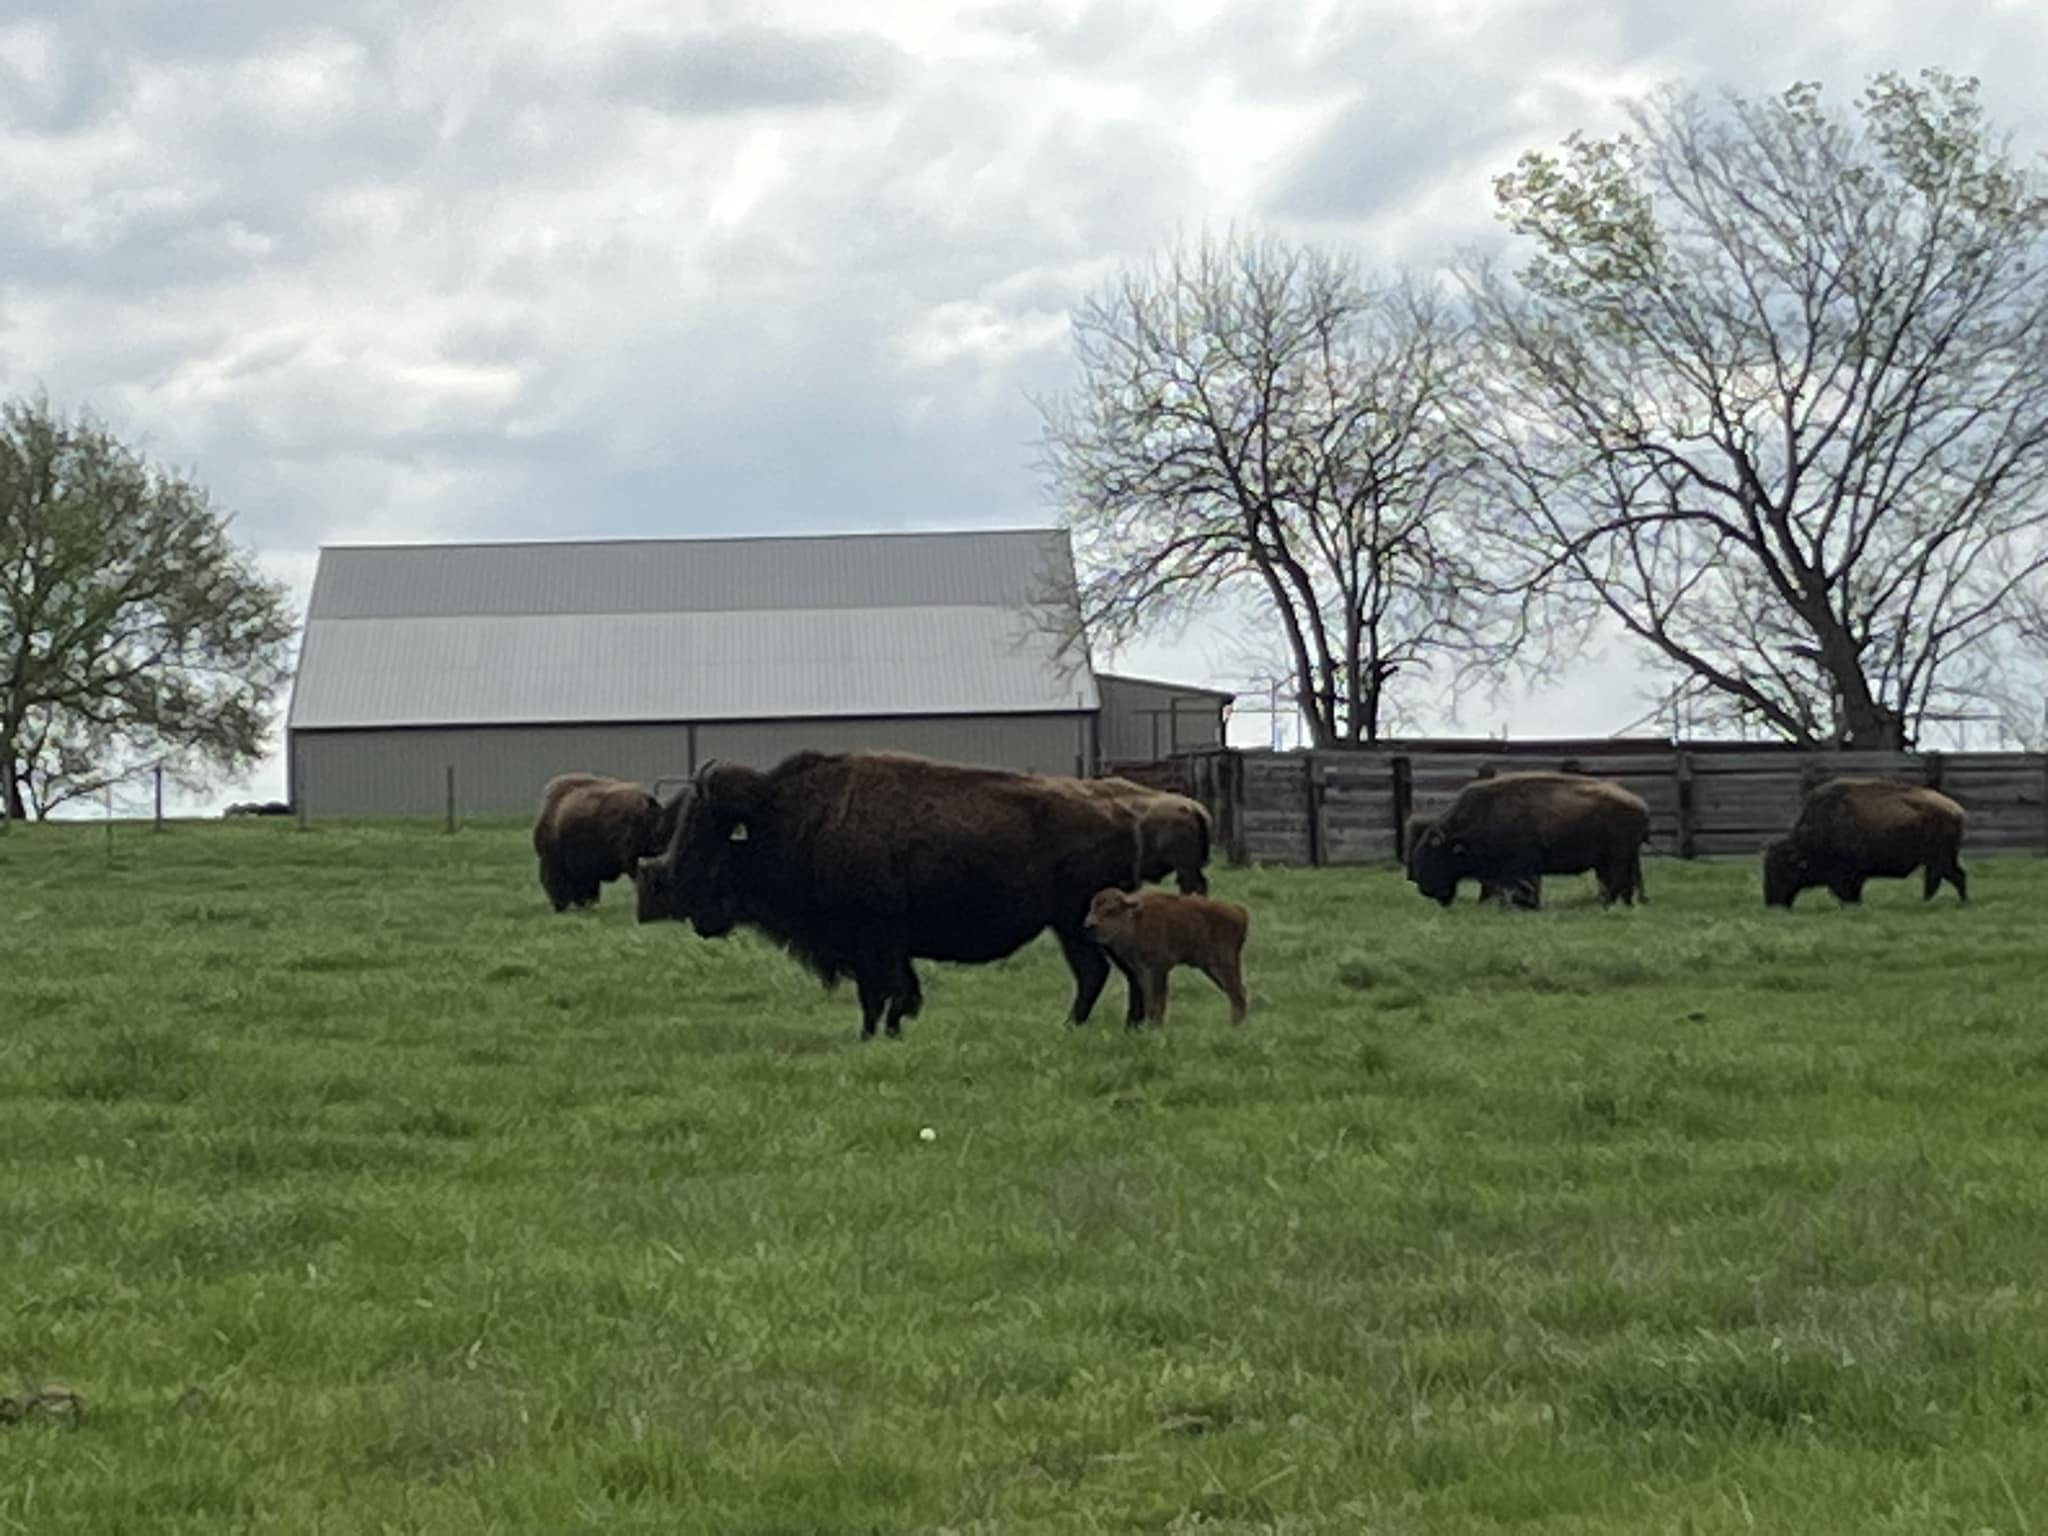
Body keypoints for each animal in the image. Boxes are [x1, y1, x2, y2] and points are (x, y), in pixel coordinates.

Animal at [634, 750, 1150, 1040]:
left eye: (708, 835)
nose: (679, 893)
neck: (793, 819)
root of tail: (1122, 815)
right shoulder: (885, 945)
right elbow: (898, 989)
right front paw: (891, 1029)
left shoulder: (871, 940)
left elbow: (878, 992)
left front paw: (871, 1034)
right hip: (1076, 927)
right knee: (1109, 972)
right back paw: (1116, 1026)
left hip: (1077, 924)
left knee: (1102, 972)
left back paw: (1084, 1026)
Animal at [1406, 772, 1649, 909]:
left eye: (1434, 854)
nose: (1424, 887)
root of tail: (1639, 804)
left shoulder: (1520, 868)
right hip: (1616, 859)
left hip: (1616, 857)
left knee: (1616, 880)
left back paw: (1607, 904)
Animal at [1762, 777, 1967, 909]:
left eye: (1781, 870)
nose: (1771, 903)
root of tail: (1955, 810)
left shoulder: (1846, 875)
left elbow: (1848, 893)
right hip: (1940, 860)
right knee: (1945, 878)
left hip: (1939, 859)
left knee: (1953, 877)